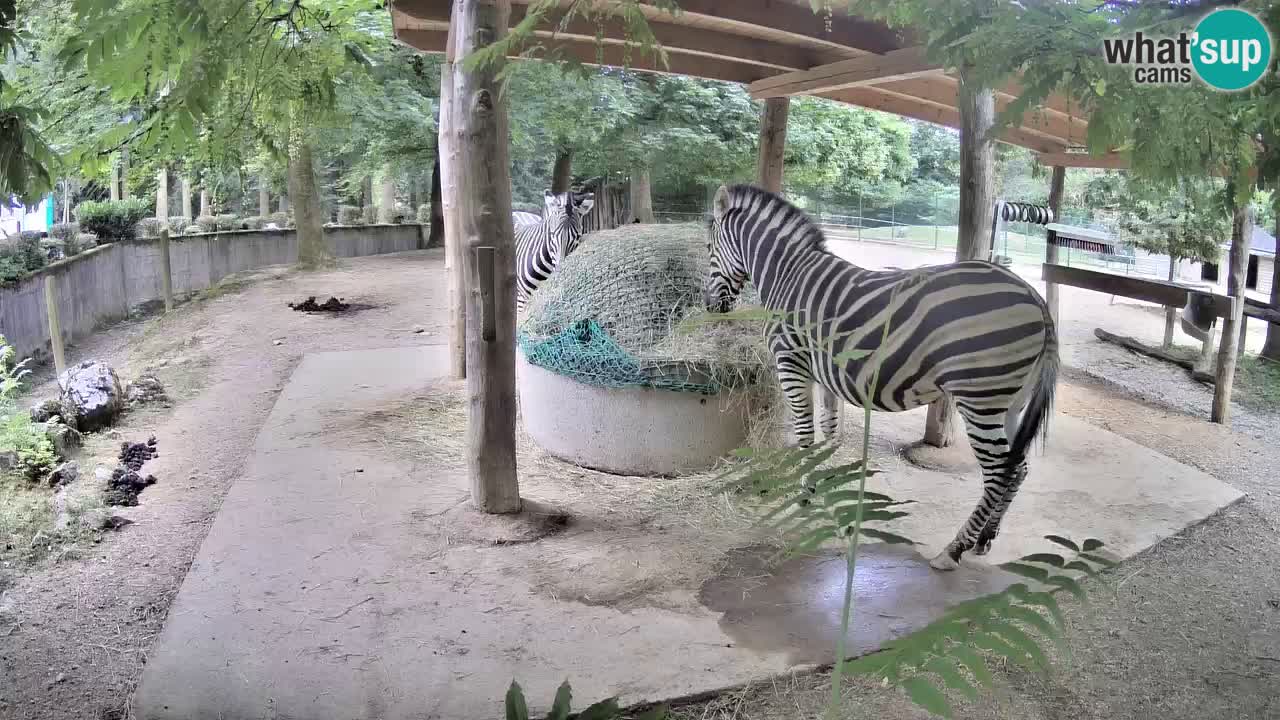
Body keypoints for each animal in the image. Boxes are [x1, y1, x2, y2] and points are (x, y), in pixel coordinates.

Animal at [702, 184, 1059, 571]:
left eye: (707, 248)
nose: (709, 306)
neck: (787, 275)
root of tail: (1035, 297)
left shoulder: (791, 362)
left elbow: (805, 434)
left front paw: (806, 495)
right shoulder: (824, 372)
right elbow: (830, 431)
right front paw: (831, 483)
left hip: (980, 397)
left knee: (998, 473)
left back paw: (953, 550)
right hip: (1009, 402)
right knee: (1018, 468)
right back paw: (984, 539)